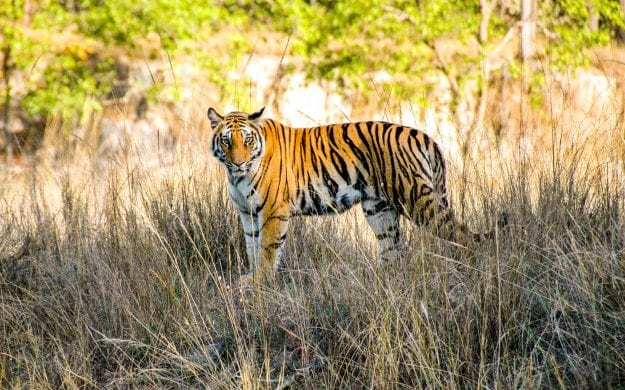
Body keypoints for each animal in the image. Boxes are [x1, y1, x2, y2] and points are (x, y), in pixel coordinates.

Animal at [210, 108, 498, 284]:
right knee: (393, 251)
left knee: (461, 236)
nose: (237, 163)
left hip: (416, 199)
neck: (237, 177)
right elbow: (252, 245)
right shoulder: (247, 212)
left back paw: (472, 271)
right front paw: (251, 277)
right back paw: (381, 280)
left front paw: (261, 281)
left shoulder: (272, 211)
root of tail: (427, 137)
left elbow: (268, 248)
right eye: (226, 141)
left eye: (247, 140)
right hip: (380, 210)